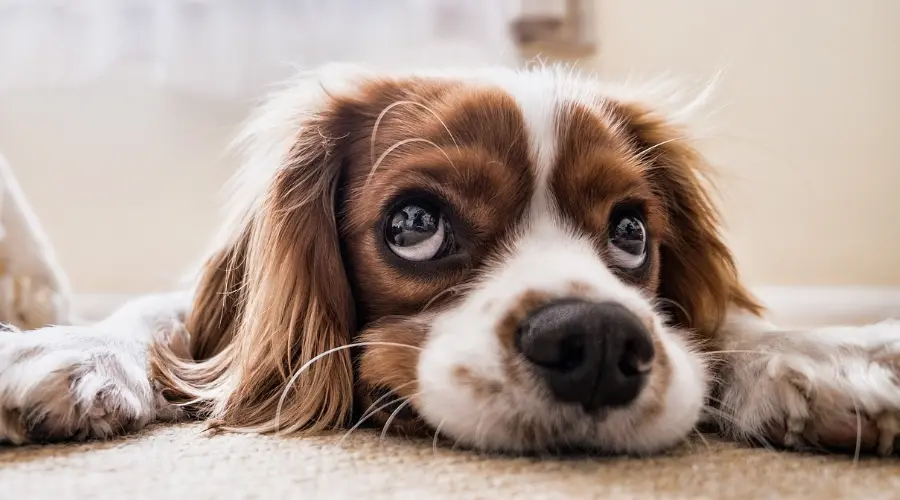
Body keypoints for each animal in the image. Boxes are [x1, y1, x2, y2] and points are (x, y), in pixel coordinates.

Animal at [1, 64, 900, 456]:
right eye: (414, 223)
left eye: (631, 233)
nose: (599, 342)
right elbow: (156, 317)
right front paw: (68, 351)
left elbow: (723, 327)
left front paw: (821, 359)